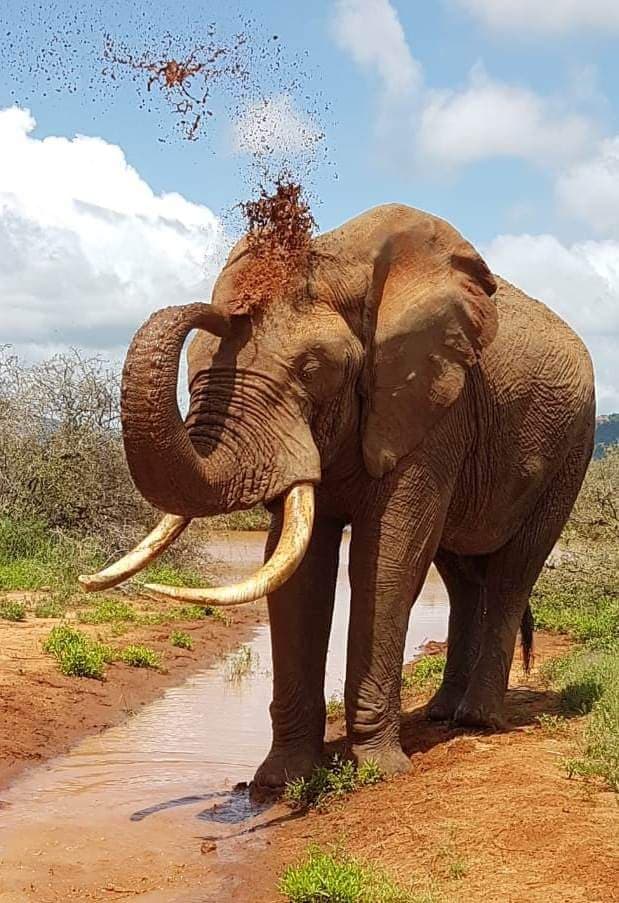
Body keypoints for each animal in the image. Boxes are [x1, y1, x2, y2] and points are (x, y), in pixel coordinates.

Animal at [80, 203, 595, 791]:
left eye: (311, 371)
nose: (220, 309)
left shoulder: (433, 409)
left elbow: (387, 558)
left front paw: (376, 772)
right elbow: (297, 567)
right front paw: (279, 781)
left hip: (571, 452)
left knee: (514, 571)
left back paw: (477, 721)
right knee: (460, 576)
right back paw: (442, 714)